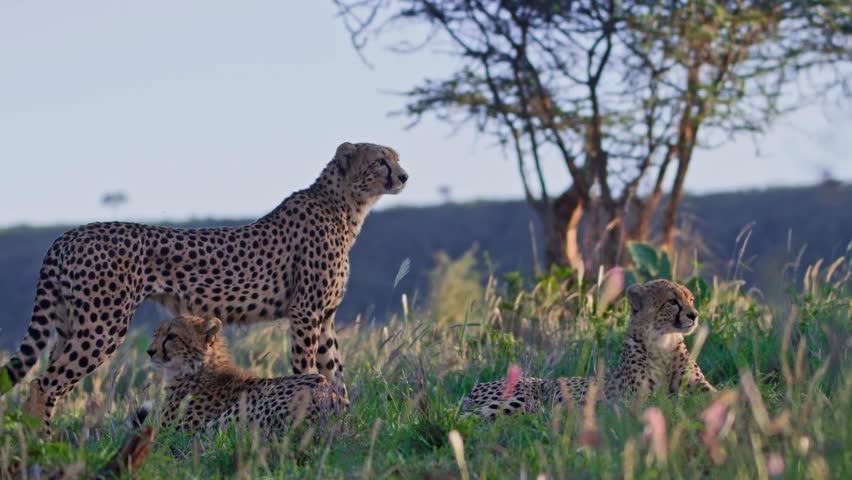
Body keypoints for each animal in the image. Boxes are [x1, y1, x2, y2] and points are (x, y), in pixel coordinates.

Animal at [461, 279, 716, 419]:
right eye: (672, 301)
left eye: (691, 299)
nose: (694, 315)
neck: (663, 342)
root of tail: (474, 387)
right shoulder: (640, 398)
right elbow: (671, 400)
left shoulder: (701, 386)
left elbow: (714, 395)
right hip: (522, 398)